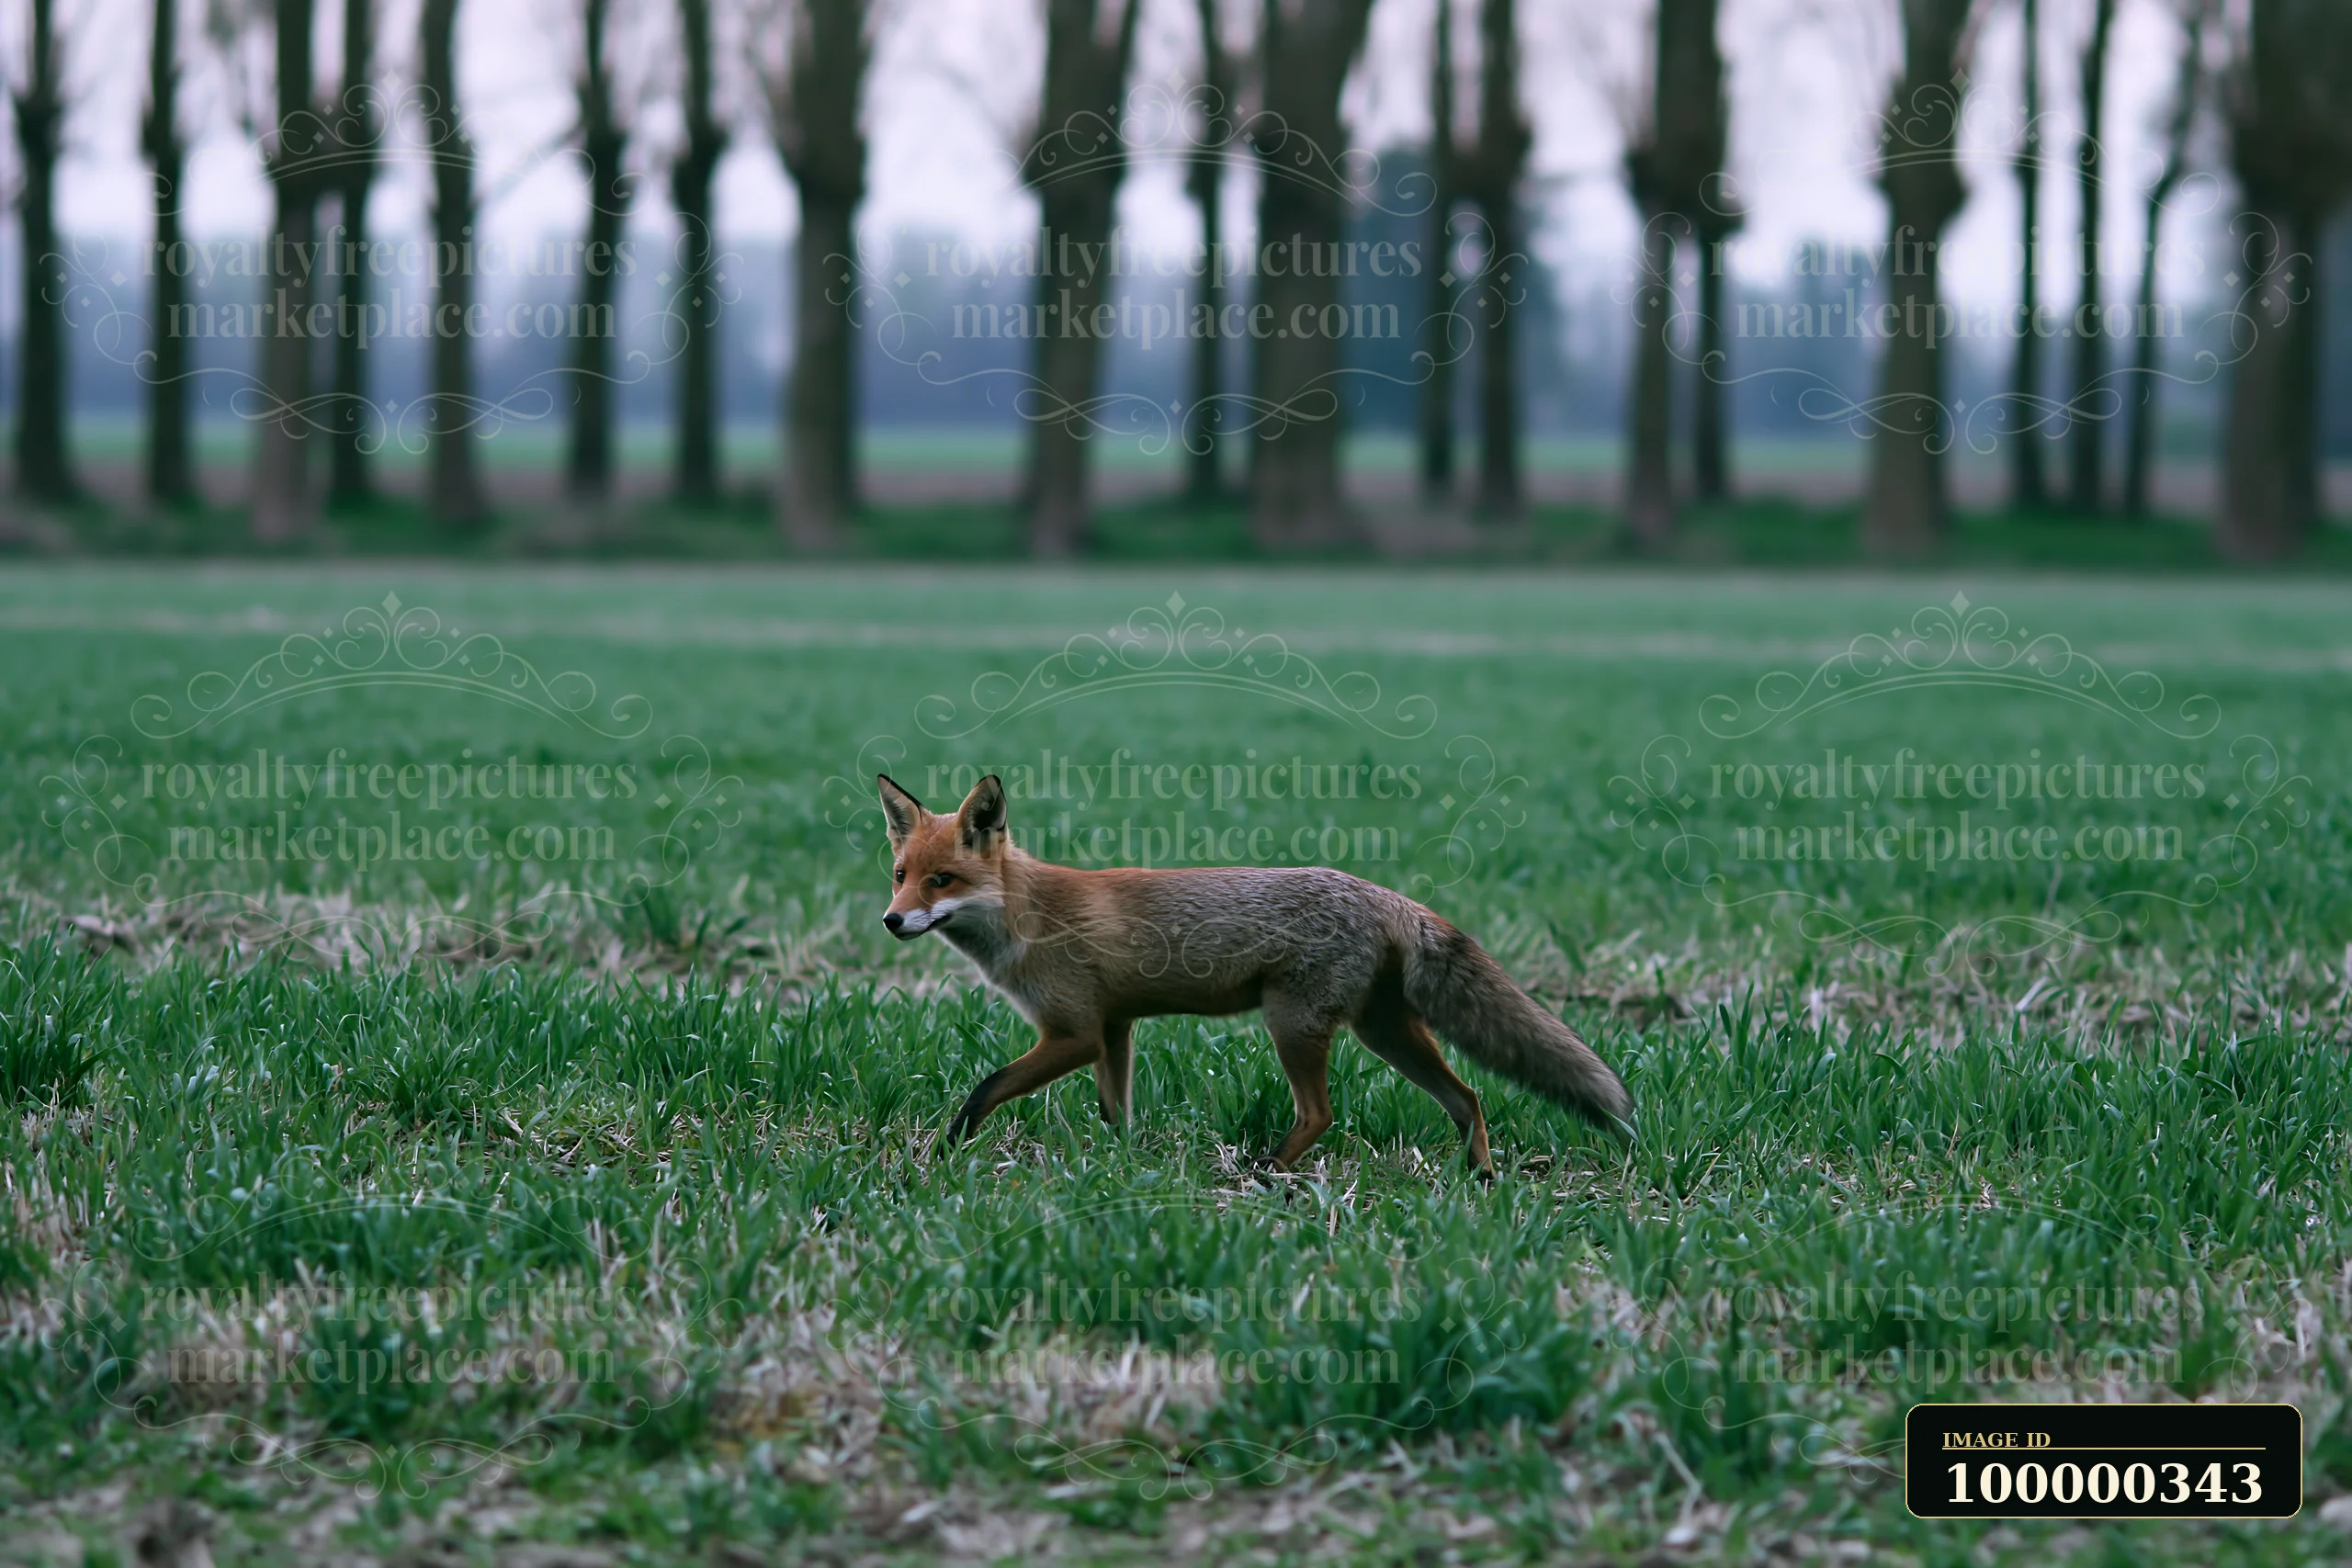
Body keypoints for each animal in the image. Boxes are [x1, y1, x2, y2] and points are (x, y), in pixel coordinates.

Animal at [876, 772, 1631, 1176]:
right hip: (1385, 1032)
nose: (890, 920)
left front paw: (942, 1150)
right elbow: (1116, 1112)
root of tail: (1387, 895)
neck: (1028, 916)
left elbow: (986, 1086)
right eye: (900, 874)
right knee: (1469, 1095)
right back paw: (1480, 1175)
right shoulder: (1114, 1029)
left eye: (942, 881)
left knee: (1322, 1111)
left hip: (1291, 1024)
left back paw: (1268, 1174)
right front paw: (1123, 1167)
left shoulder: (1075, 1032)